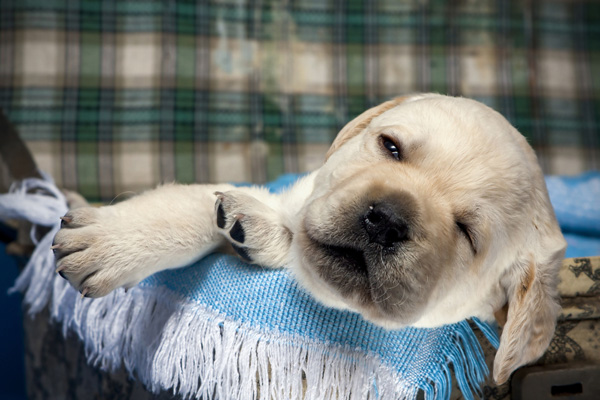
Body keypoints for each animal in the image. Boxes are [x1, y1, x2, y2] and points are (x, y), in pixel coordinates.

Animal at [52, 92, 568, 382]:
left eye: (467, 233)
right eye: (390, 147)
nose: (385, 219)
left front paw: (257, 232)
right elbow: (195, 203)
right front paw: (115, 240)